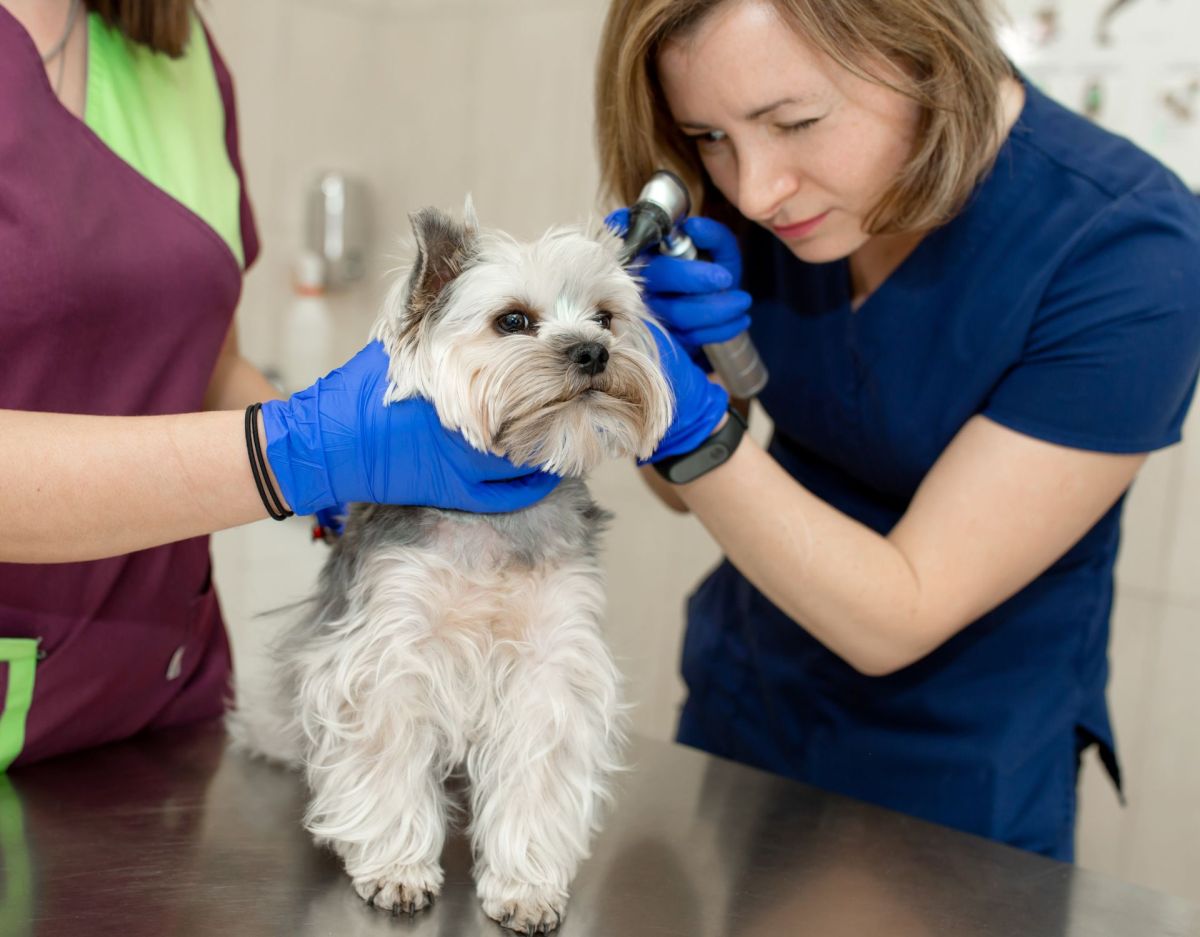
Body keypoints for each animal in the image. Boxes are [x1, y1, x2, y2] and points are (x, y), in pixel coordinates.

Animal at [226, 201, 676, 931]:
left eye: (607, 317)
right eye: (513, 321)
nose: (594, 351)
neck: (492, 514)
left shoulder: (550, 665)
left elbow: (536, 778)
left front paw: (525, 885)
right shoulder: (390, 652)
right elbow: (386, 764)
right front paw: (396, 869)